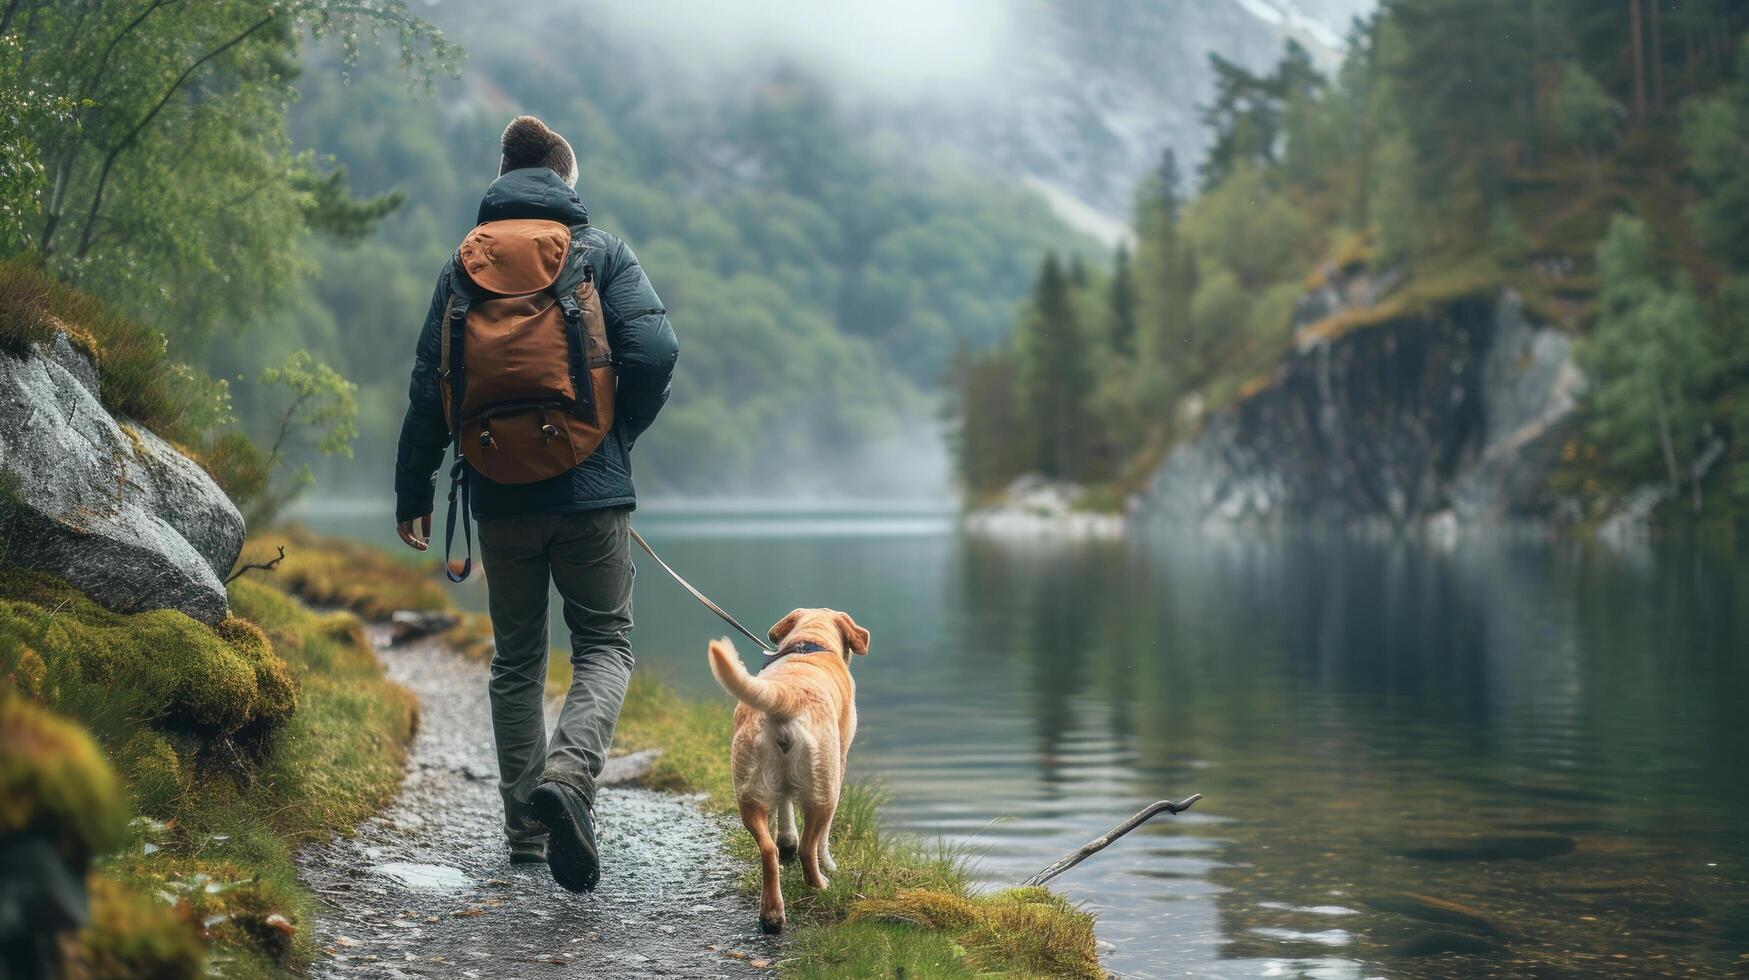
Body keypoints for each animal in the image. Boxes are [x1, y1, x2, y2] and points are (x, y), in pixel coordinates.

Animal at [706, 605, 871, 931]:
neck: (810, 642)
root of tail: (786, 697)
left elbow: (785, 810)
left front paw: (787, 844)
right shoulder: (840, 764)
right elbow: (822, 839)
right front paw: (829, 864)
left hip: (749, 793)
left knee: (767, 849)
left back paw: (771, 914)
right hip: (824, 791)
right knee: (810, 846)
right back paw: (820, 884)